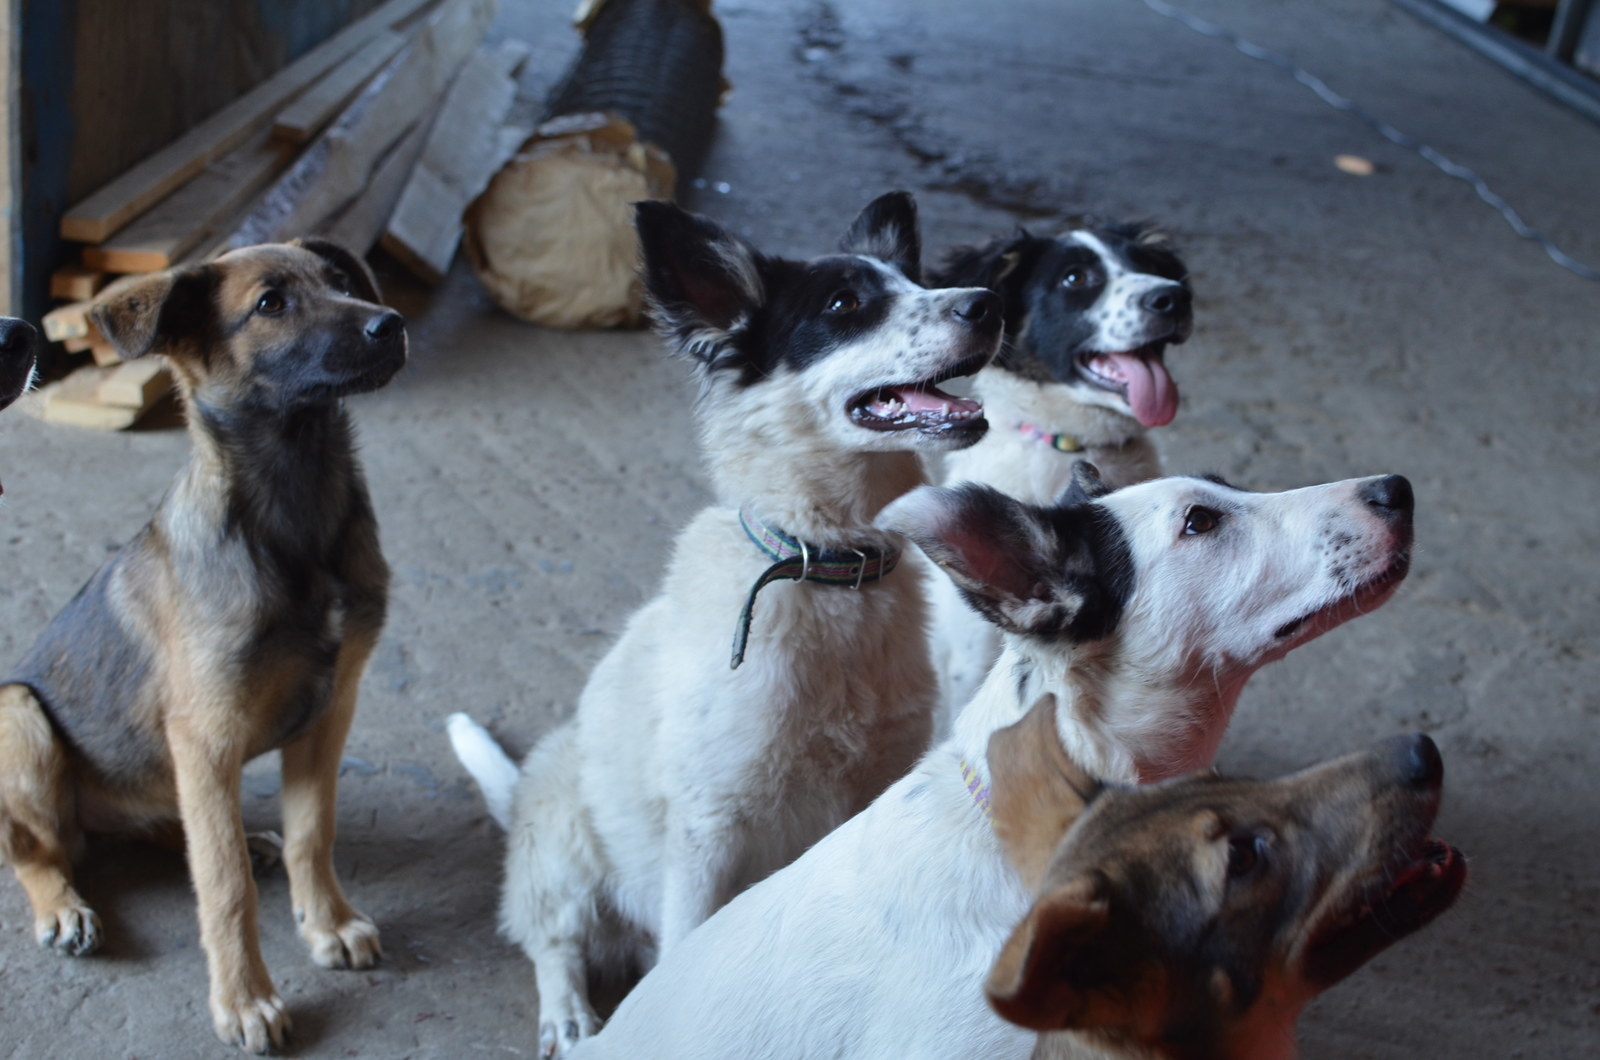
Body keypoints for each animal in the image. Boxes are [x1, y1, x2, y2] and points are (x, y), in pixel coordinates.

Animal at [451, 192, 998, 1060]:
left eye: (914, 281)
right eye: (845, 305)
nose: (990, 302)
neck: (826, 568)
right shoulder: (712, 823)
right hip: (564, 847)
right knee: (552, 942)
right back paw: (568, 1015)